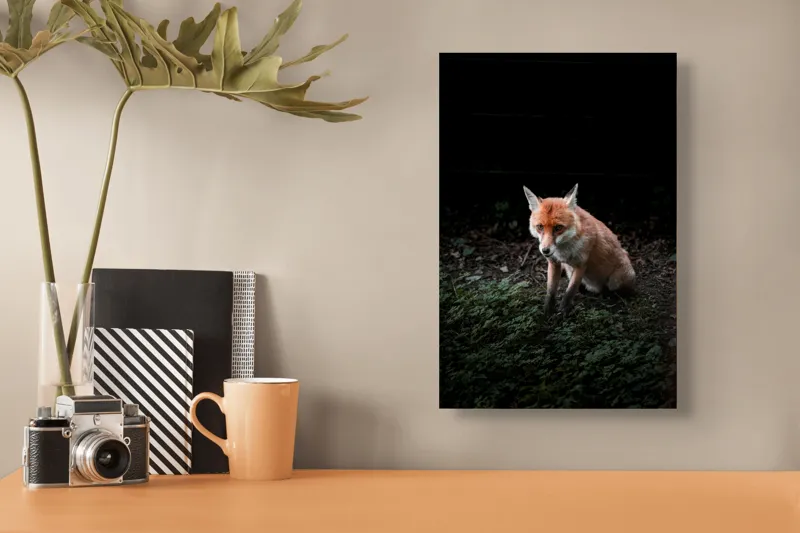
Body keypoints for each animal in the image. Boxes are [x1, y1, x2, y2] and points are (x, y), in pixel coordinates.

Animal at [523, 183, 635, 315]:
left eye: (558, 228)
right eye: (540, 227)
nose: (545, 250)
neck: (564, 251)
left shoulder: (581, 264)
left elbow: (570, 290)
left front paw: (563, 311)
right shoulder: (554, 263)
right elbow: (551, 291)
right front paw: (548, 311)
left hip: (617, 280)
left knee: (616, 291)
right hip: (570, 271)